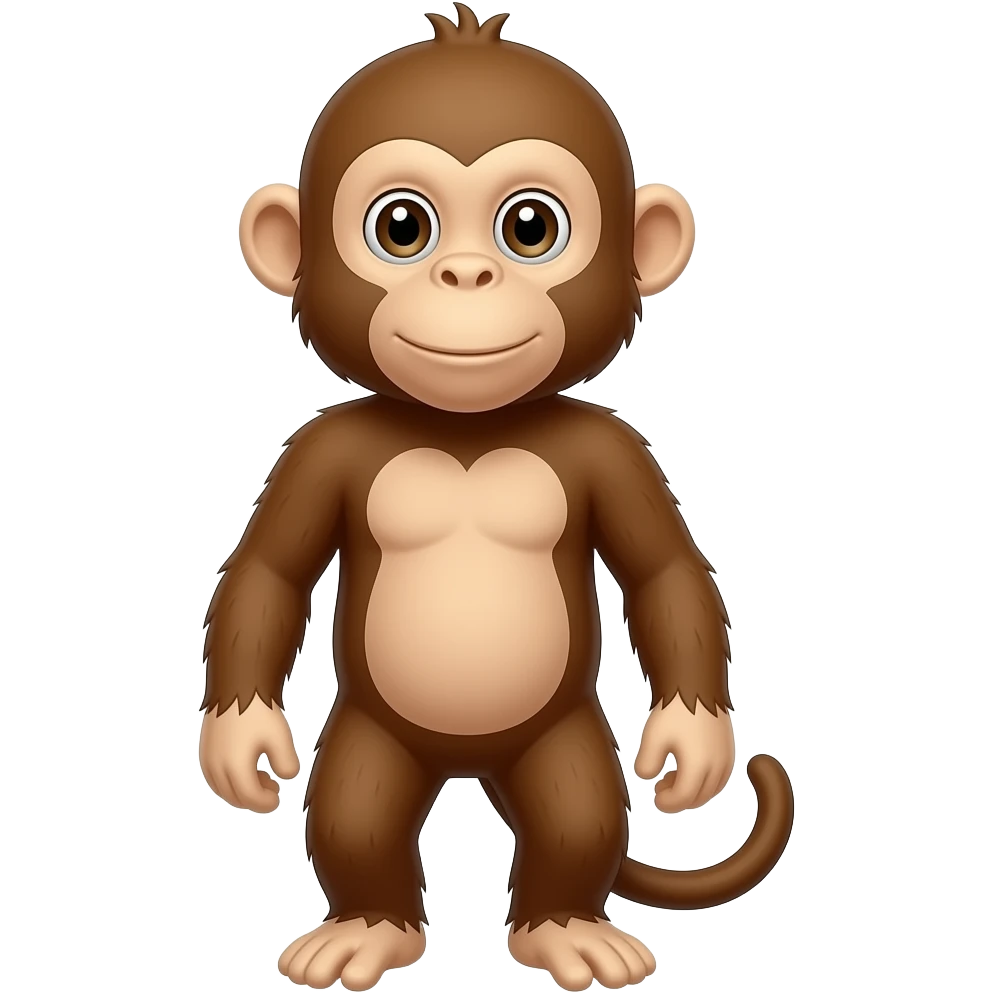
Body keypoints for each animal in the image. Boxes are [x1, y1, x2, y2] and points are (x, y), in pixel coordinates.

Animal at [198, 6, 794, 991]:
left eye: (530, 227)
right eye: (402, 226)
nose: (467, 276)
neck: (467, 430)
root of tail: (466, 763)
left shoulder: (616, 449)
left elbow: (665, 571)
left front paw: (693, 744)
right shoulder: (316, 450)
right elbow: (268, 572)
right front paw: (240, 743)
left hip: (562, 735)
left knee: (576, 814)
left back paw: (566, 927)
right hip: (372, 736)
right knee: (355, 814)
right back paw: (367, 927)